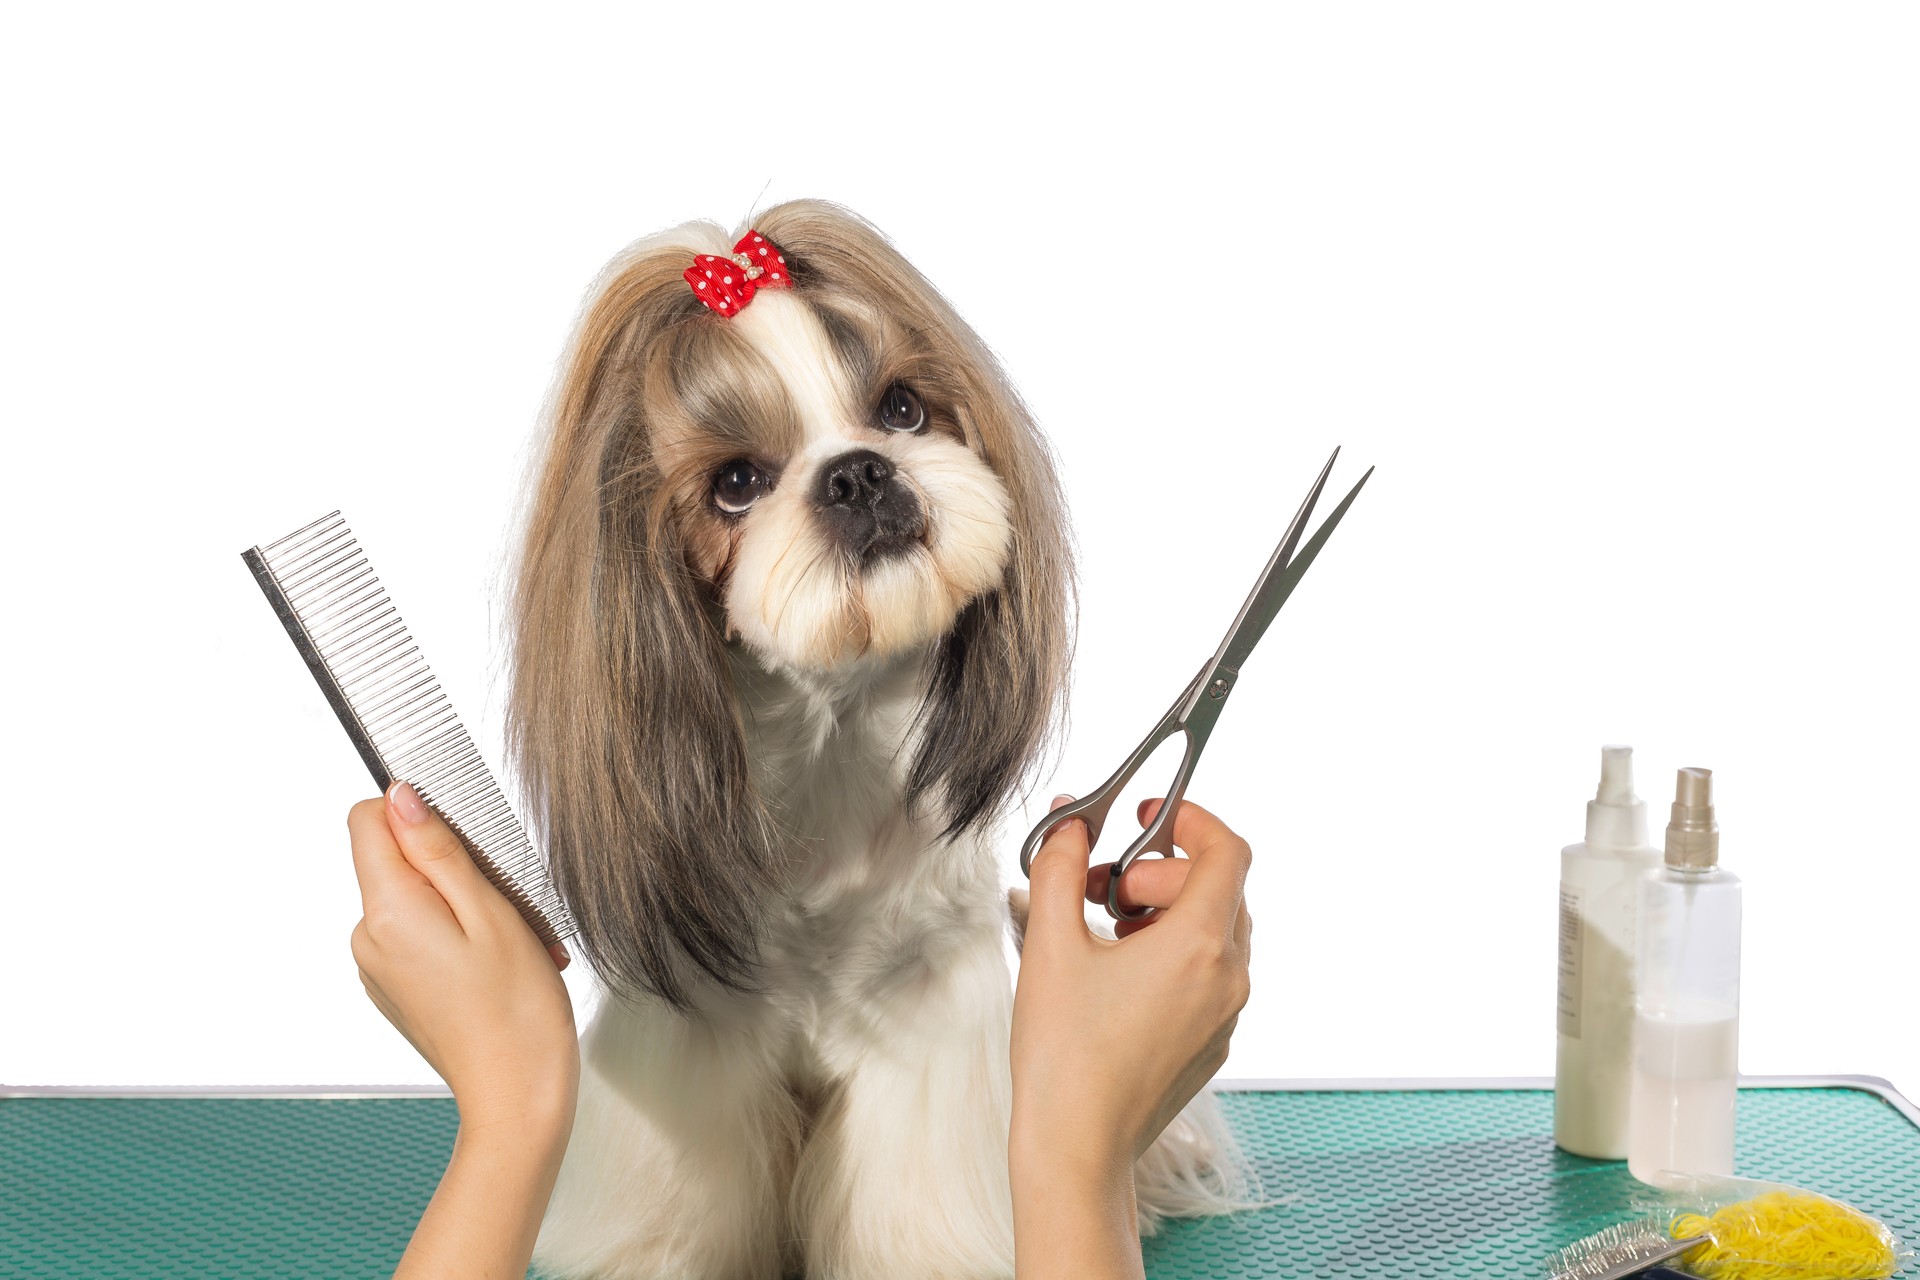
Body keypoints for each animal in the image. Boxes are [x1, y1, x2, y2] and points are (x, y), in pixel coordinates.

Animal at [503, 202, 1251, 1280]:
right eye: (737, 482)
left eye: (901, 409)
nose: (857, 472)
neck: (832, 744)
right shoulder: (692, 1042)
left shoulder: (932, 1020)